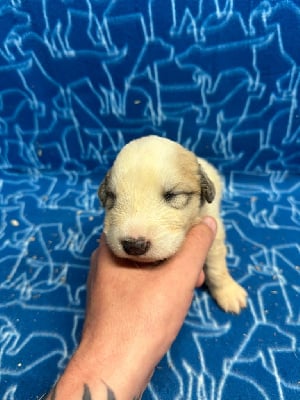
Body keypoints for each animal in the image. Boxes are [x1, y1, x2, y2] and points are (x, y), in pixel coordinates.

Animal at [98, 136, 246, 314]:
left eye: (173, 195)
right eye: (112, 197)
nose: (134, 245)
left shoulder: (214, 232)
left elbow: (217, 268)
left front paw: (229, 292)